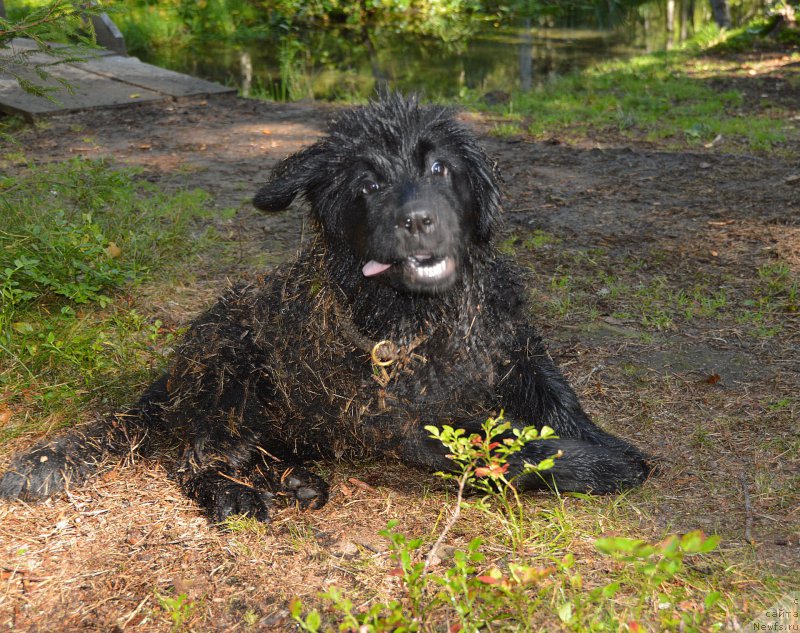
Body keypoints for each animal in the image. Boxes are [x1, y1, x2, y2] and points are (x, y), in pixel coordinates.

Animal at [0, 94, 648, 520]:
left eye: (441, 167)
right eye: (367, 184)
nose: (419, 222)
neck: (428, 316)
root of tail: (168, 379)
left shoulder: (517, 352)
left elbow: (561, 406)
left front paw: (611, 447)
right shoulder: (406, 424)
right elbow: (511, 452)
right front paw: (599, 468)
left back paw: (294, 481)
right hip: (229, 371)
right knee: (193, 457)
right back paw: (236, 495)